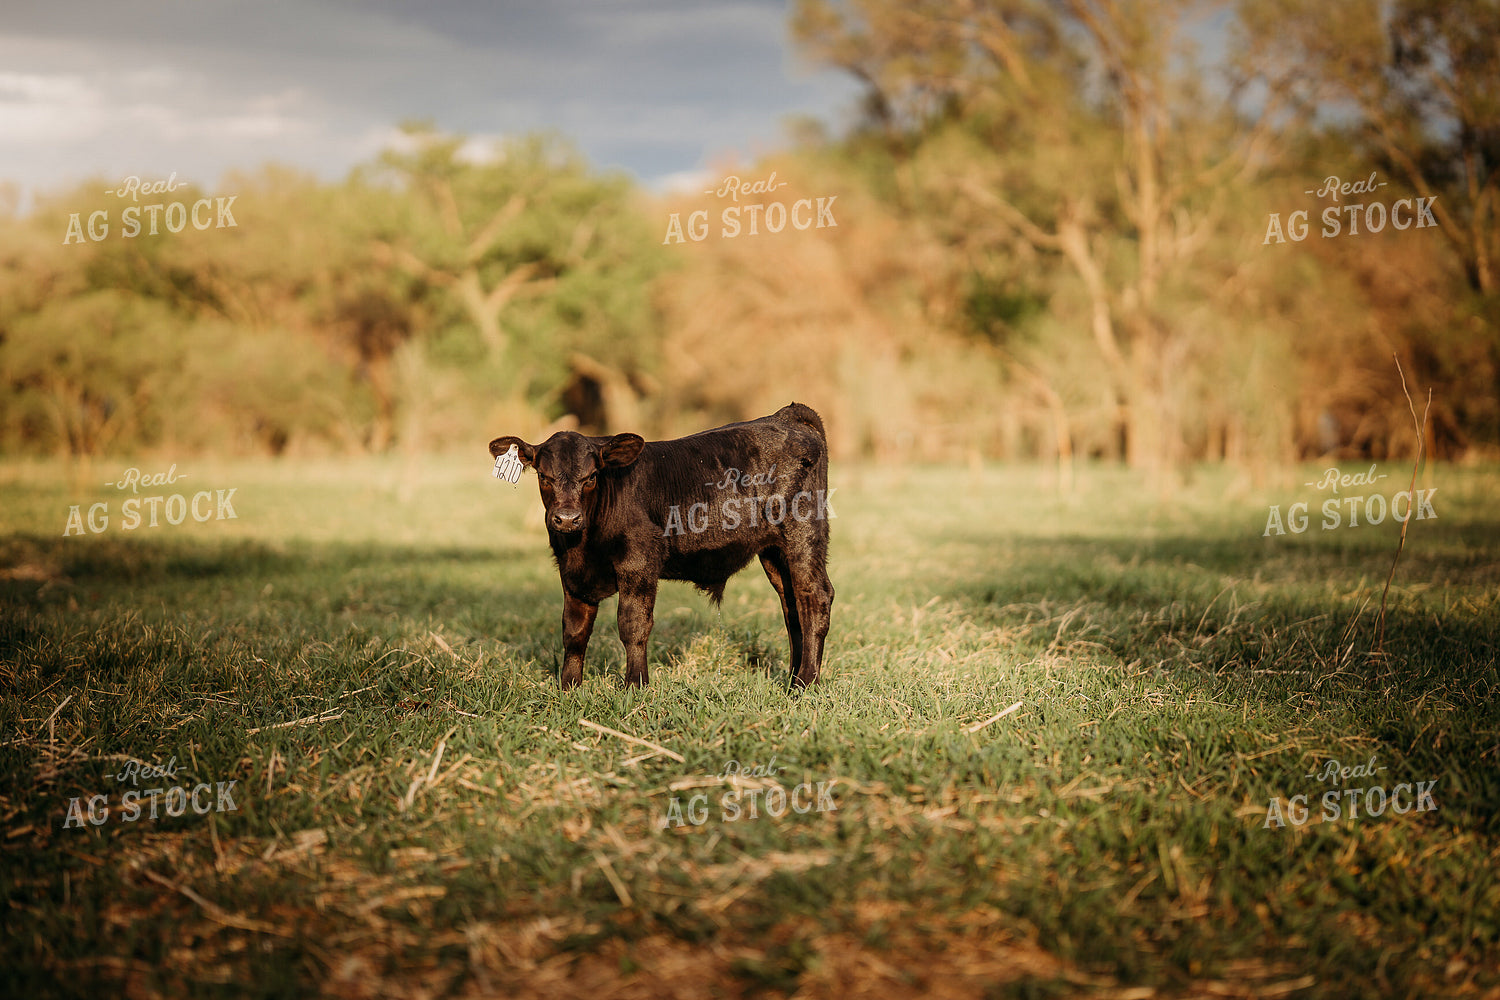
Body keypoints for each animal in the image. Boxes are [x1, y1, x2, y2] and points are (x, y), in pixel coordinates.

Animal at [488, 402, 835, 689]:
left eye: (591, 477)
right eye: (543, 477)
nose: (567, 519)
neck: (582, 545)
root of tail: (784, 416)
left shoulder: (639, 562)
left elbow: (633, 624)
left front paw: (635, 685)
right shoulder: (571, 573)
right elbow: (574, 630)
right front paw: (569, 687)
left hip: (803, 536)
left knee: (815, 597)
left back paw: (805, 683)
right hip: (775, 553)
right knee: (792, 606)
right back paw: (792, 677)